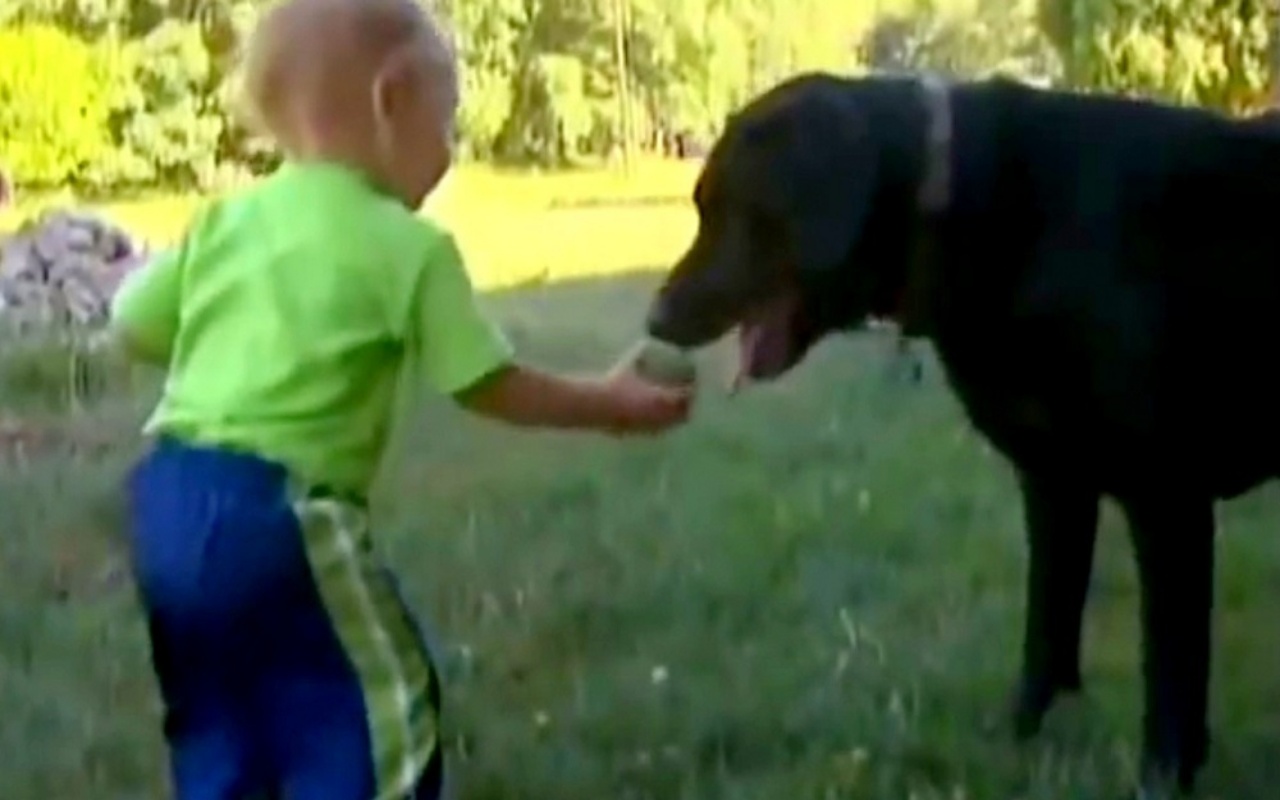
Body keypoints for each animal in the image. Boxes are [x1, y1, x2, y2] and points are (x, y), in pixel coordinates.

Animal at [650, 71, 1280, 793]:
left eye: (730, 206)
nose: (654, 318)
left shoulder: (1166, 498)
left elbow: (1171, 667)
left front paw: (1164, 775)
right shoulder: (1054, 483)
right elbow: (1049, 623)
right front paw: (1021, 733)